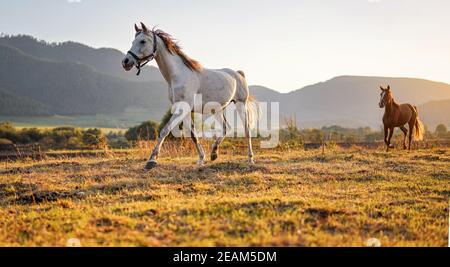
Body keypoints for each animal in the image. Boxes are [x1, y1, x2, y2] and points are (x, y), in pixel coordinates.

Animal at [122, 22, 256, 170]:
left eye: (142, 41)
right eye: (133, 41)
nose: (126, 61)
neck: (179, 74)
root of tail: (238, 73)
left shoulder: (182, 109)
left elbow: (165, 130)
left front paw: (151, 161)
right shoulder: (184, 110)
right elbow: (193, 135)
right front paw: (201, 159)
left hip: (240, 104)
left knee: (247, 131)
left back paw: (250, 159)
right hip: (217, 109)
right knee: (227, 128)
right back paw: (214, 153)